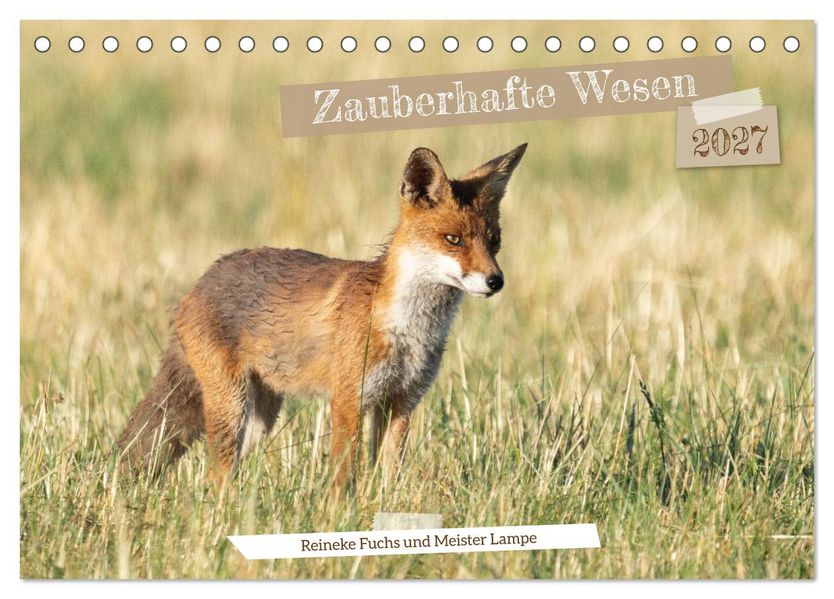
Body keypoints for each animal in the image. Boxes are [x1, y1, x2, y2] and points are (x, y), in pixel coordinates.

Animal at [116, 143, 527, 492]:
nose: (496, 281)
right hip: (231, 407)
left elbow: (387, 477)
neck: (407, 331)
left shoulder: (400, 402)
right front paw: (339, 517)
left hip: (261, 417)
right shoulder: (348, 400)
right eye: (453, 239)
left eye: (494, 242)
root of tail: (198, 284)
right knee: (214, 477)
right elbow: (344, 477)